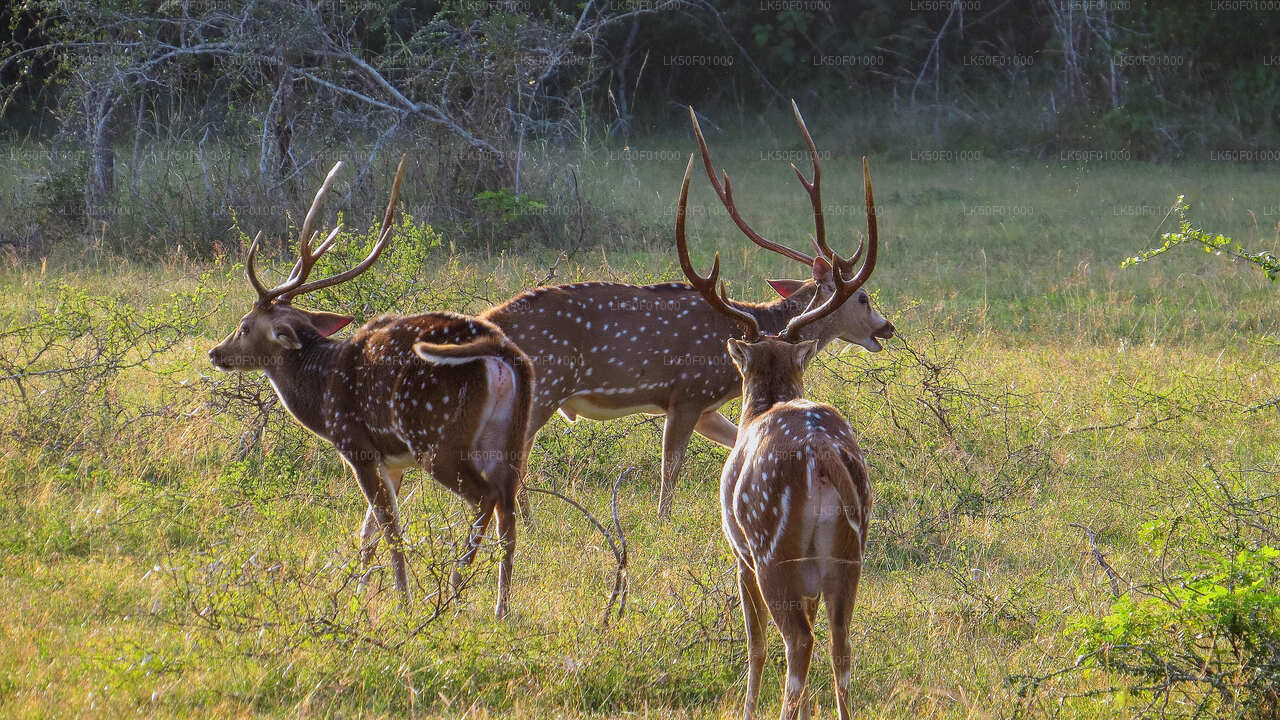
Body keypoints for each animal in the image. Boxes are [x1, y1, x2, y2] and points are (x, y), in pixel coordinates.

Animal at [207, 158, 533, 619]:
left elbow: (389, 527)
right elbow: (368, 532)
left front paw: (401, 600)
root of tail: (504, 354)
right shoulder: (392, 460)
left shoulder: (357, 445)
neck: (320, 392)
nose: (216, 353)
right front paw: (359, 593)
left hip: (437, 436)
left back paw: (450, 591)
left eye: (245, 326)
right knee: (509, 509)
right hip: (510, 437)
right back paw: (499, 608)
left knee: (484, 498)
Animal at [482, 101, 893, 519]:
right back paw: (525, 522)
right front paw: (662, 521)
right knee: (512, 456)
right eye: (863, 297)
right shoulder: (687, 393)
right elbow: (671, 469)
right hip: (544, 386)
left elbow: (738, 442)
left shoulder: (708, 407)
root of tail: (489, 320)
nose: (886, 327)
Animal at [675, 149, 877, 720]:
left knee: (796, 643)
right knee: (841, 644)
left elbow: (754, 644)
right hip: (847, 554)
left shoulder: (738, 552)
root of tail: (823, 456)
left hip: (771, 549)